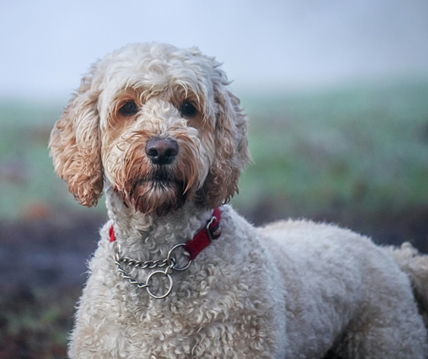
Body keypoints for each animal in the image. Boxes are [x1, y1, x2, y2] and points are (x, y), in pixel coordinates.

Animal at [48, 43, 426, 358]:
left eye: (189, 107)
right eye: (127, 107)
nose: (162, 149)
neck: (160, 262)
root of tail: (386, 253)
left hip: (387, 340)